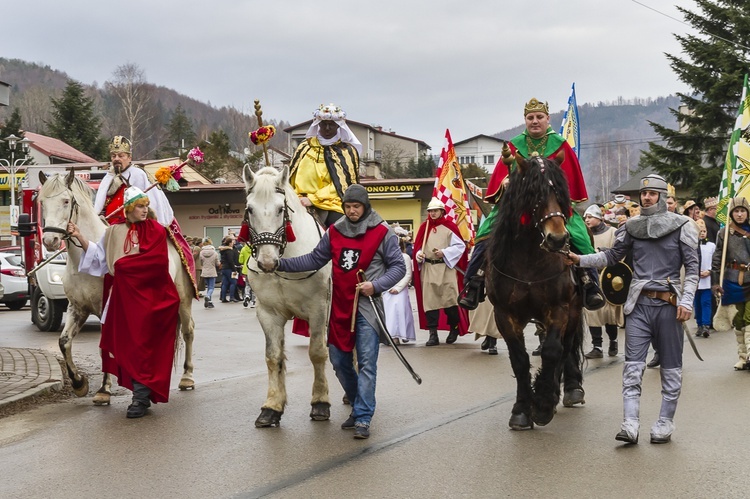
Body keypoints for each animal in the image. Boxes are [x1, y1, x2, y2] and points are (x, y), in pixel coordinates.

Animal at [37, 170, 197, 404]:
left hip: (183, 299)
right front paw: (79, 383)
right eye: (42, 202)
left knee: (188, 331)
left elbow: (105, 347)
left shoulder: (107, 307)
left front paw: (104, 388)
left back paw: (186, 377)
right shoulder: (77, 308)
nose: (50, 240)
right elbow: (64, 342)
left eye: (66, 201)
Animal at [244, 166, 332, 428]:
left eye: (280, 209)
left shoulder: (318, 309)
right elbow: (273, 357)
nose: (267, 262)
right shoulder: (268, 313)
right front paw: (272, 406)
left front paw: (320, 402)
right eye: (250, 209)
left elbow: (317, 352)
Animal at [488, 155, 588, 430]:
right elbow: (520, 360)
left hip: (574, 311)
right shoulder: (505, 314)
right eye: (534, 194)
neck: (529, 260)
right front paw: (522, 410)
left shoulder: (559, 308)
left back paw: (569, 389)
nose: (558, 239)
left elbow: (552, 351)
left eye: (560, 193)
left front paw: (543, 404)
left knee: (566, 347)